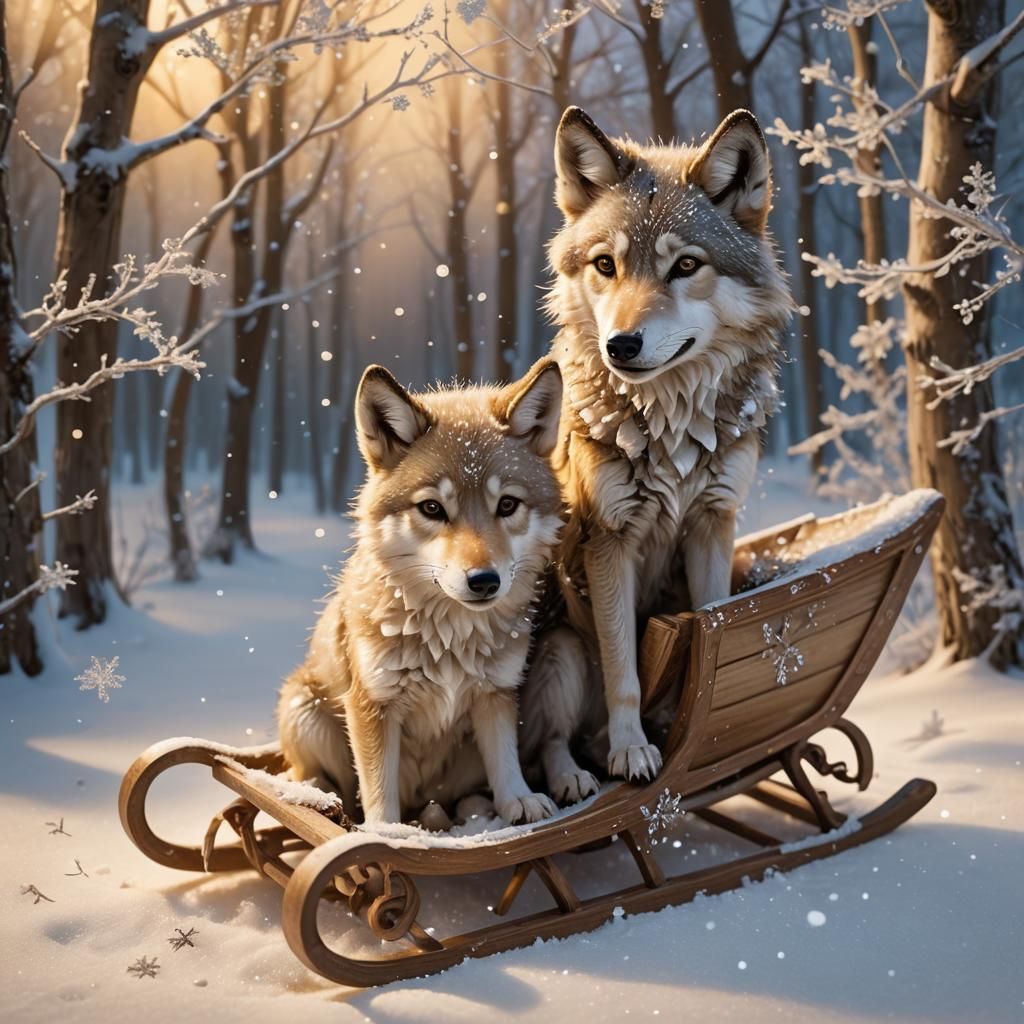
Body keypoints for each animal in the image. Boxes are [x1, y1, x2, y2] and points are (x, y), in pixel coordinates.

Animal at [278, 360, 564, 826]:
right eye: (432, 508)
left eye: (507, 505)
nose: (484, 580)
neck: (449, 640)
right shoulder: (372, 706)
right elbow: (378, 794)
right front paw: (388, 833)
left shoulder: (496, 694)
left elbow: (504, 760)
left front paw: (518, 801)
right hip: (304, 707)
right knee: (320, 778)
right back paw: (316, 794)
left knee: (458, 798)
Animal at [520, 107, 794, 798]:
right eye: (605, 265)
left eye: (686, 266)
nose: (621, 344)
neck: (671, 430)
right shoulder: (608, 542)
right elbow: (625, 667)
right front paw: (633, 751)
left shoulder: (713, 524)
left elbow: (714, 625)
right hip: (563, 650)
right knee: (551, 742)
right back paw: (579, 776)